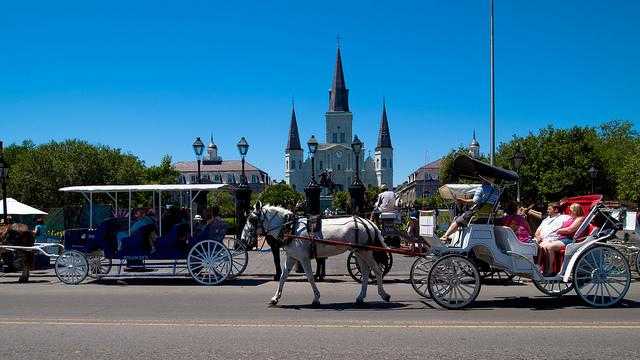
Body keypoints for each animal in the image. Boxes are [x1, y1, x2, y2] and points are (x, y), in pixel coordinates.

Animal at [240, 202, 390, 306]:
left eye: (252, 220)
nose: (242, 239)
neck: (291, 228)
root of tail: (369, 222)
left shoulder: (303, 258)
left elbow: (310, 277)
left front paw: (316, 297)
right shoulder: (292, 257)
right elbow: (283, 277)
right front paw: (275, 298)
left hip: (366, 251)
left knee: (376, 270)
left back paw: (384, 294)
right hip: (359, 252)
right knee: (365, 272)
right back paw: (360, 297)